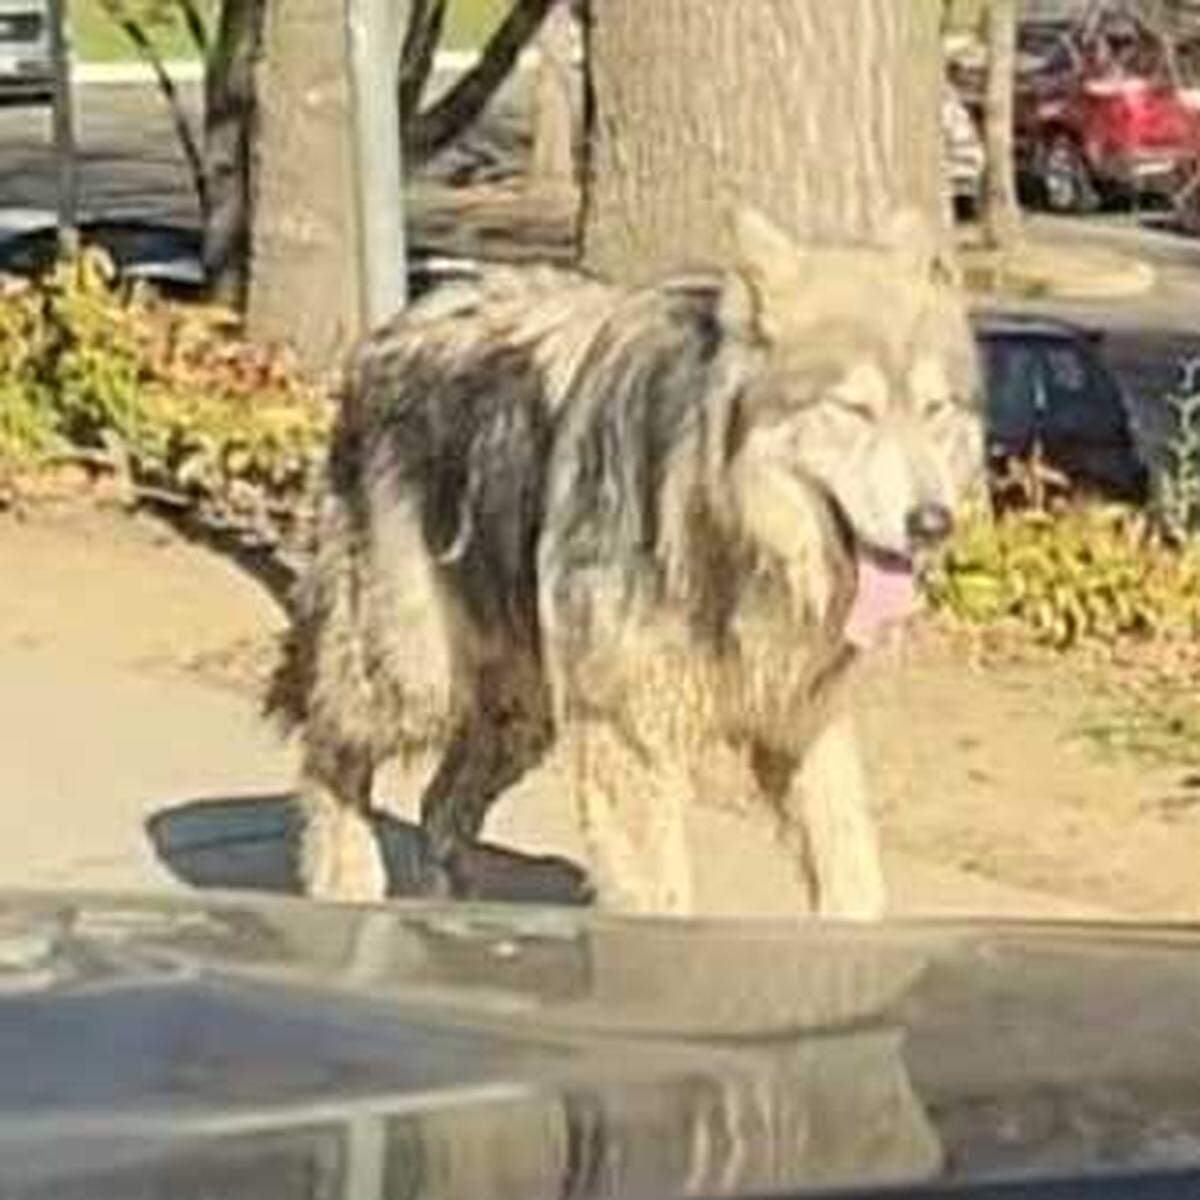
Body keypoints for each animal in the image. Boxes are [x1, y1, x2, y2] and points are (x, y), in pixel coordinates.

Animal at [265, 207, 983, 916]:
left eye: (934, 410)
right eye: (854, 410)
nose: (933, 523)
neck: (729, 533)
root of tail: (399, 321)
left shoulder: (801, 720)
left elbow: (853, 874)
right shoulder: (630, 735)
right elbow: (658, 894)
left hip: (522, 712)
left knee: (439, 805)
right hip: (415, 675)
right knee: (329, 751)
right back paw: (347, 882)